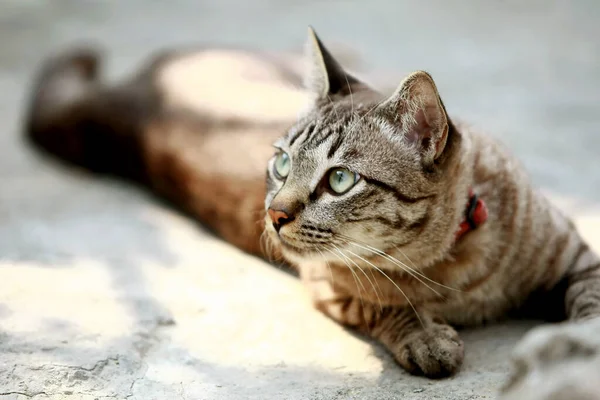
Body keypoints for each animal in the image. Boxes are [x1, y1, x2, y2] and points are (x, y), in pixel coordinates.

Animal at [24, 29, 600, 380]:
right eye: (281, 164)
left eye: (339, 180)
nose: (274, 214)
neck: (454, 270)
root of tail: (133, 89)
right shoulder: (326, 282)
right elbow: (386, 305)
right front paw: (424, 337)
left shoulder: (577, 257)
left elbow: (589, 304)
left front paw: (576, 349)